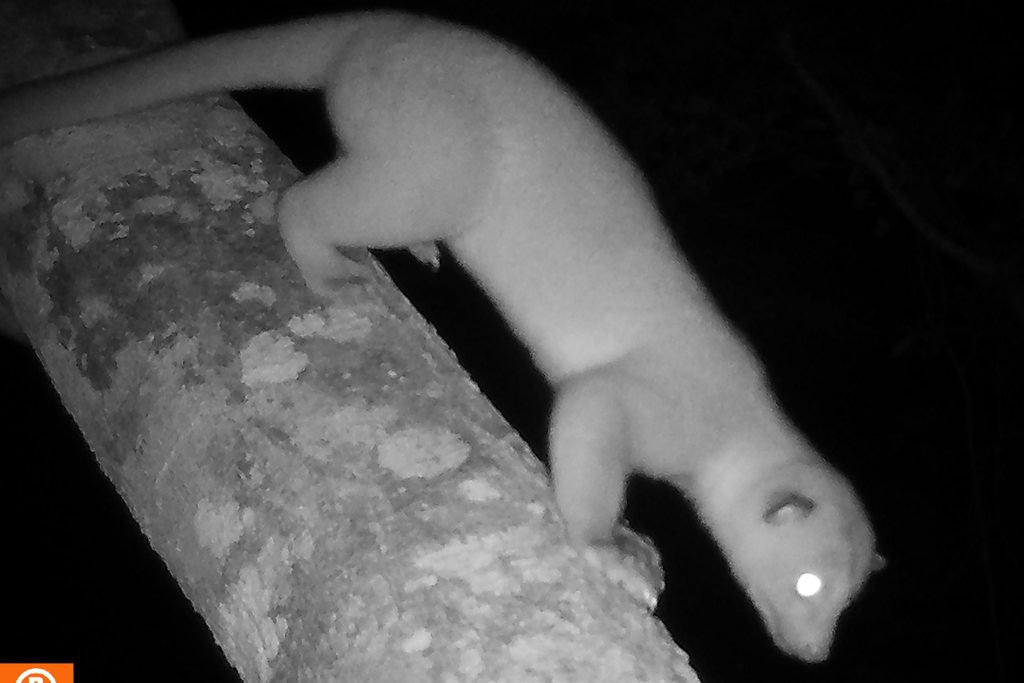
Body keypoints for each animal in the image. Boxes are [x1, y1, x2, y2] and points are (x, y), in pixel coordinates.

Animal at [0, 12, 879, 661]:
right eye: (808, 586)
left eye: (843, 603)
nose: (811, 653)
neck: (744, 417)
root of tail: (377, 28)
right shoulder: (648, 400)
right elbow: (588, 420)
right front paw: (613, 548)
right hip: (436, 166)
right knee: (310, 202)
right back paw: (331, 268)